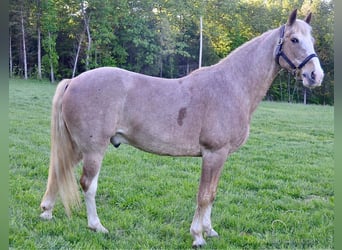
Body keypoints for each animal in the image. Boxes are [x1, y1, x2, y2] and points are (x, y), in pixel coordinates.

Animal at [39, 9, 324, 246]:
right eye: (294, 40)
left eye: (311, 40)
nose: (315, 75)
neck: (231, 86)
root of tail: (74, 80)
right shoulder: (213, 153)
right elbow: (204, 195)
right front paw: (198, 236)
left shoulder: (220, 156)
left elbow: (212, 193)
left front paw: (209, 230)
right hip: (93, 149)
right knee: (88, 184)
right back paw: (96, 226)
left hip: (78, 147)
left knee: (59, 171)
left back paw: (47, 213)